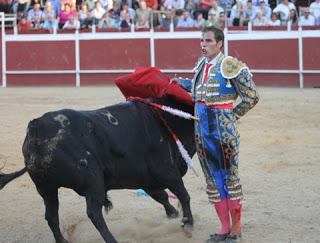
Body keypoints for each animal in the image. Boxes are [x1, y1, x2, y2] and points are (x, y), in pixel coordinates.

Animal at [0, 96, 195, 243]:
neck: (162, 119)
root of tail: (36, 128)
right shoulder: (167, 171)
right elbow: (183, 194)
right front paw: (188, 224)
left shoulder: (146, 178)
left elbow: (161, 195)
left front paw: (173, 214)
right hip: (93, 181)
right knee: (94, 213)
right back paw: (112, 240)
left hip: (46, 187)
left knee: (51, 215)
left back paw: (63, 241)